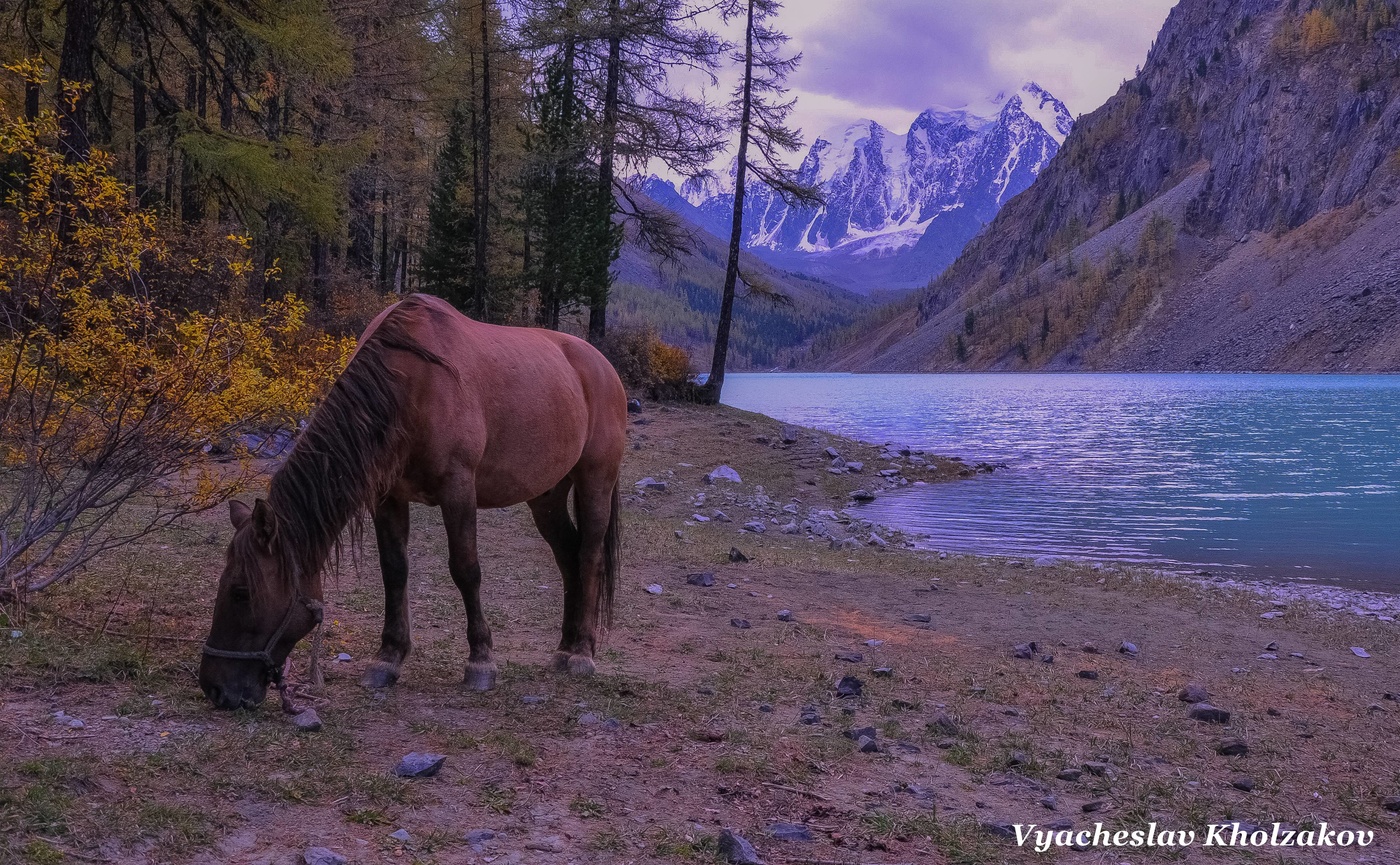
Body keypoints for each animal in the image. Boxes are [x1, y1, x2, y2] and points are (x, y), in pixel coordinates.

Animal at [196, 292, 624, 702]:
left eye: (241, 592)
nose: (214, 688)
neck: (412, 386)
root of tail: (603, 366)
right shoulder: (387, 497)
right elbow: (394, 571)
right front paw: (388, 658)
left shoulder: (458, 490)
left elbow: (466, 570)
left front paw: (481, 661)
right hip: (546, 497)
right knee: (568, 557)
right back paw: (565, 648)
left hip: (595, 481)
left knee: (589, 557)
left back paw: (581, 653)